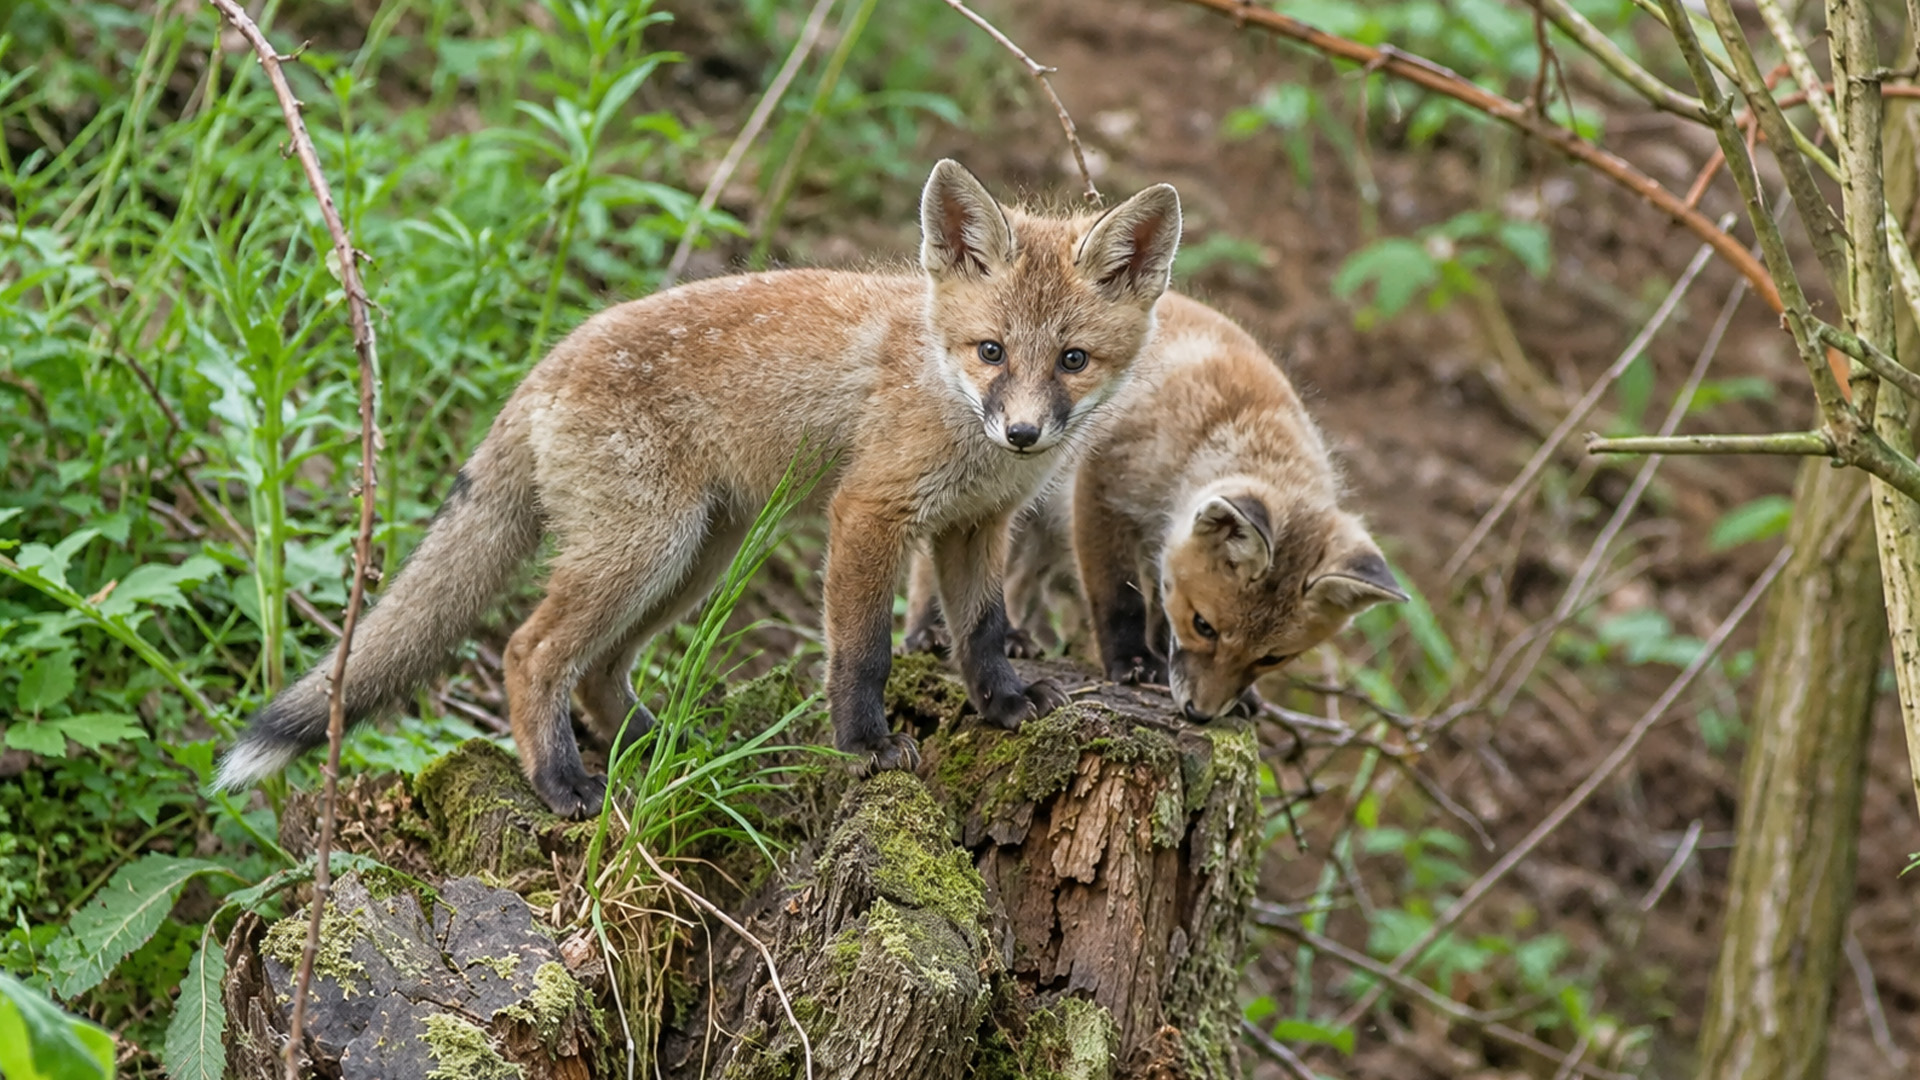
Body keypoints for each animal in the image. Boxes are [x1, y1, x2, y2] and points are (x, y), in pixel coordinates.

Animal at [213, 160, 1183, 818]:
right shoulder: (870, 513)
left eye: (1072, 361)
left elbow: (981, 632)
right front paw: (865, 746)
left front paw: (1006, 705)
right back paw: (560, 781)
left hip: (694, 557)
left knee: (600, 668)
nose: (1023, 433)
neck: (946, 398)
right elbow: (862, 652)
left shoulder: (975, 526)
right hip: (648, 549)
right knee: (531, 650)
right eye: (991, 351)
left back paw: (658, 744)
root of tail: (545, 365)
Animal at [903, 292, 1405, 721]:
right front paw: (1133, 663)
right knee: (938, 569)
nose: (1200, 714)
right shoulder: (1102, 488)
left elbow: (1161, 615)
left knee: (1020, 581)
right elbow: (1119, 597)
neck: (1224, 419)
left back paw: (1016, 636)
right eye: (1204, 626)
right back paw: (929, 631)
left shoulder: (1163, 545)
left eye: (1271, 657)